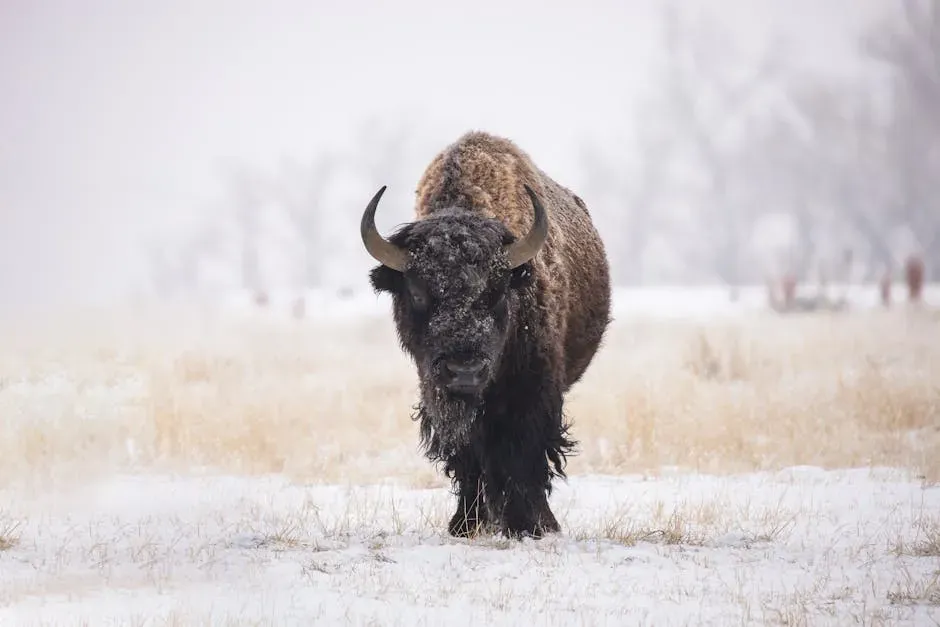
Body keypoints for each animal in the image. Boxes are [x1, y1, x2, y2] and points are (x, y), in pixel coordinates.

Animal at [361, 131, 611, 539]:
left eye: (496, 291)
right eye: (417, 292)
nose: (464, 371)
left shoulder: (534, 390)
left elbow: (526, 453)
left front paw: (531, 525)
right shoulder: (440, 394)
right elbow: (469, 457)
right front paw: (465, 524)